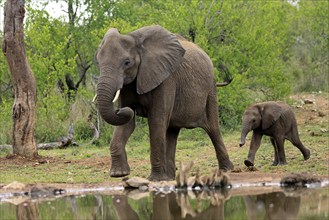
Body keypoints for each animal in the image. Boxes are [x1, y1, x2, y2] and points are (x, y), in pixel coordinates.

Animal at [95, 24, 233, 181]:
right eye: (98, 63)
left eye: (127, 63)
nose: (119, 110)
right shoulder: (128, 85)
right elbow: (127, 124)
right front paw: (119, 174)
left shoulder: (166, 79)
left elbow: (156, 121)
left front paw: (155, 179)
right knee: (172, 131)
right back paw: (170, 177)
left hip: (210, 89)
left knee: (213, 128)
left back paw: (226, 170)